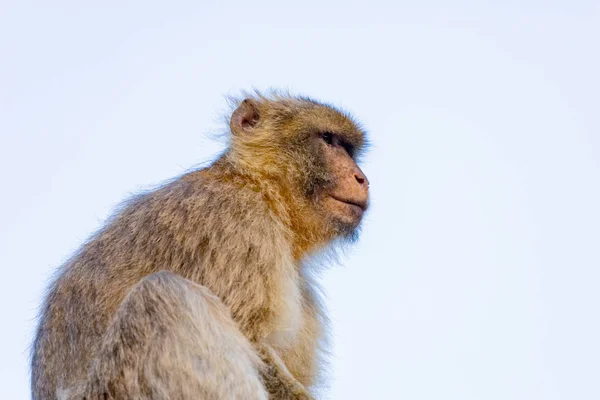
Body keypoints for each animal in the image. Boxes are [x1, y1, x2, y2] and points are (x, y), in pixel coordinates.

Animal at [32, 91, 370, 400]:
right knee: (162, 294)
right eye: (328, 140)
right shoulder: (237, 222)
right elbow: (254, 342)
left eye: (348, 149)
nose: (362, 178)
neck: (258, 187)